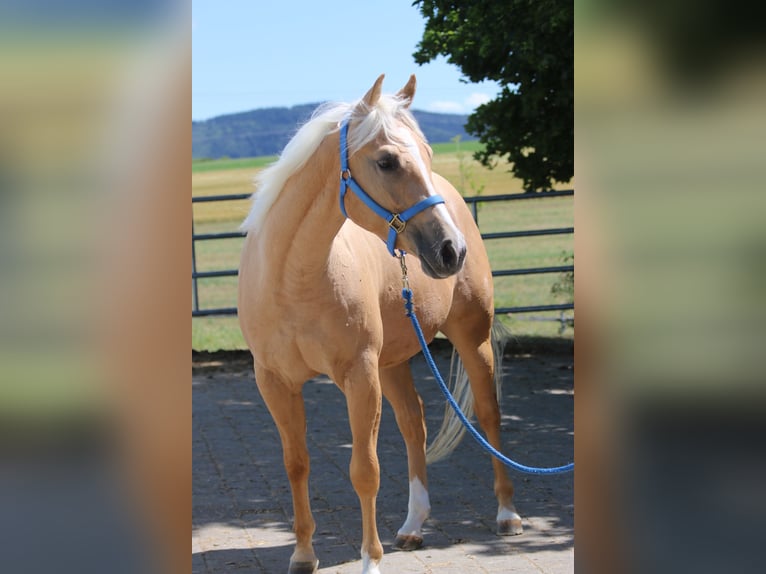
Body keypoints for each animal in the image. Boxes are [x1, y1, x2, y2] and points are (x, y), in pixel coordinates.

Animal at [238, 74, 522, 574]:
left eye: (426, 154)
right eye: (386, 161)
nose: (451, 250)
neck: (293, 281)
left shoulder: (359, 375)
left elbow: (365, 470)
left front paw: (370, 558)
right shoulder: (274, 382)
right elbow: (296, 463)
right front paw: (303, 554)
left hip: (471, 338)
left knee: (488, 414)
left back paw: (507, 513)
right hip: (393, 362)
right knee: (414, 424)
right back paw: (412, 526)